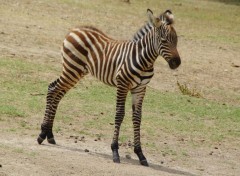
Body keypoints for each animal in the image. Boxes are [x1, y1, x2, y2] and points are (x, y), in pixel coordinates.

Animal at [37, 9, 180, 166]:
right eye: (164, 40)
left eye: (176, 40)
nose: (177, 63)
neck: (145, 60)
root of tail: (74, 29)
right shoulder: (122, 84)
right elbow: (119, 114)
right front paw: (115, 151)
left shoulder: (140, 89)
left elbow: (137, 118)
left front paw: (140, 154)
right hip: (72, 68)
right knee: (52, 89)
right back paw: (42, 134)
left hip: (77, 72)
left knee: (57, 93)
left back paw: (49, 134)